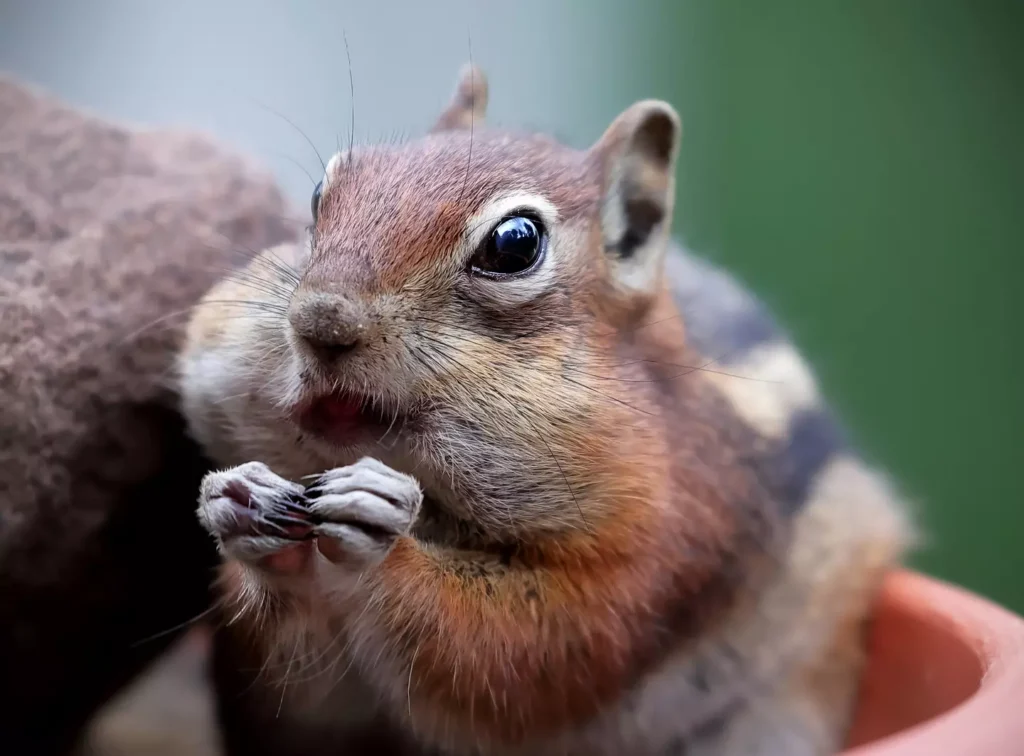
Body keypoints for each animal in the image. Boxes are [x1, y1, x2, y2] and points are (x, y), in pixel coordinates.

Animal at [178, 63, 913, 756]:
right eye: (320, 194)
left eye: (515, 243)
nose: (320, 320)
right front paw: (237, 505)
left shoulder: (669, 541)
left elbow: (534, 648)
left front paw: (380, 541)